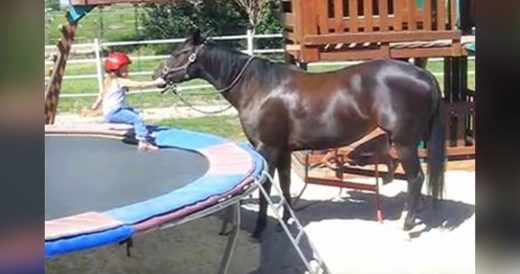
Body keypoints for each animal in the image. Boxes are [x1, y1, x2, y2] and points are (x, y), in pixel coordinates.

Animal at [152, 30, 444, 240]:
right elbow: (285, 186)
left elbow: (267, 191)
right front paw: (286, 221)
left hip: (405, 143)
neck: (258, 87)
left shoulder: (267, 148)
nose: (157, 75)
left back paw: (406, 225)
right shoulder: (283, 150)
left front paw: (260, 229)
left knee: (416, 178)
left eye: (181, 52)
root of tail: (423, 74)